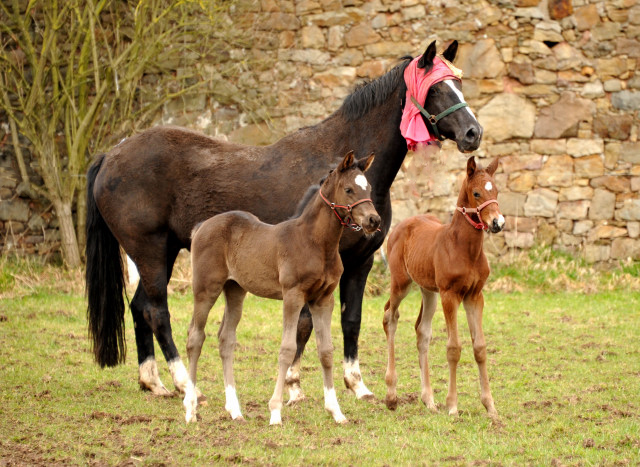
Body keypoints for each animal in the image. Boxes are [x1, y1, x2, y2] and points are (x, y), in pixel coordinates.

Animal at [182, 152, 380, 426]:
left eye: (368, 188)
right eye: (349, 189)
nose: (374, 220)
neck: (316, 243)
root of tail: (201, 227)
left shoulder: (323, 299)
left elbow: (326, 351)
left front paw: (336, 411)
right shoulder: (293, 296)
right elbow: (287, 349)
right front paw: (275, 412)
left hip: (235, 290)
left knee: (226, 339)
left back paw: (235, 410)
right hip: (205, 289)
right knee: (195, 337)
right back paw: (190, 408)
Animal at [382, 155, 502, 418]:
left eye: (496, 190)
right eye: (476, 193)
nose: (498, 223)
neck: (464, 249)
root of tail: (399, 227)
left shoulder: (475, 296)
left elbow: (480, 347)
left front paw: (490, 406)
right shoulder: (450, 295)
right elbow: (454, 348)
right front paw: (453, 406)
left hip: (429, 291)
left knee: (422, 331)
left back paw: (428, 399)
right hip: (401, 283)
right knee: (390, 317)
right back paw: (391, 394)